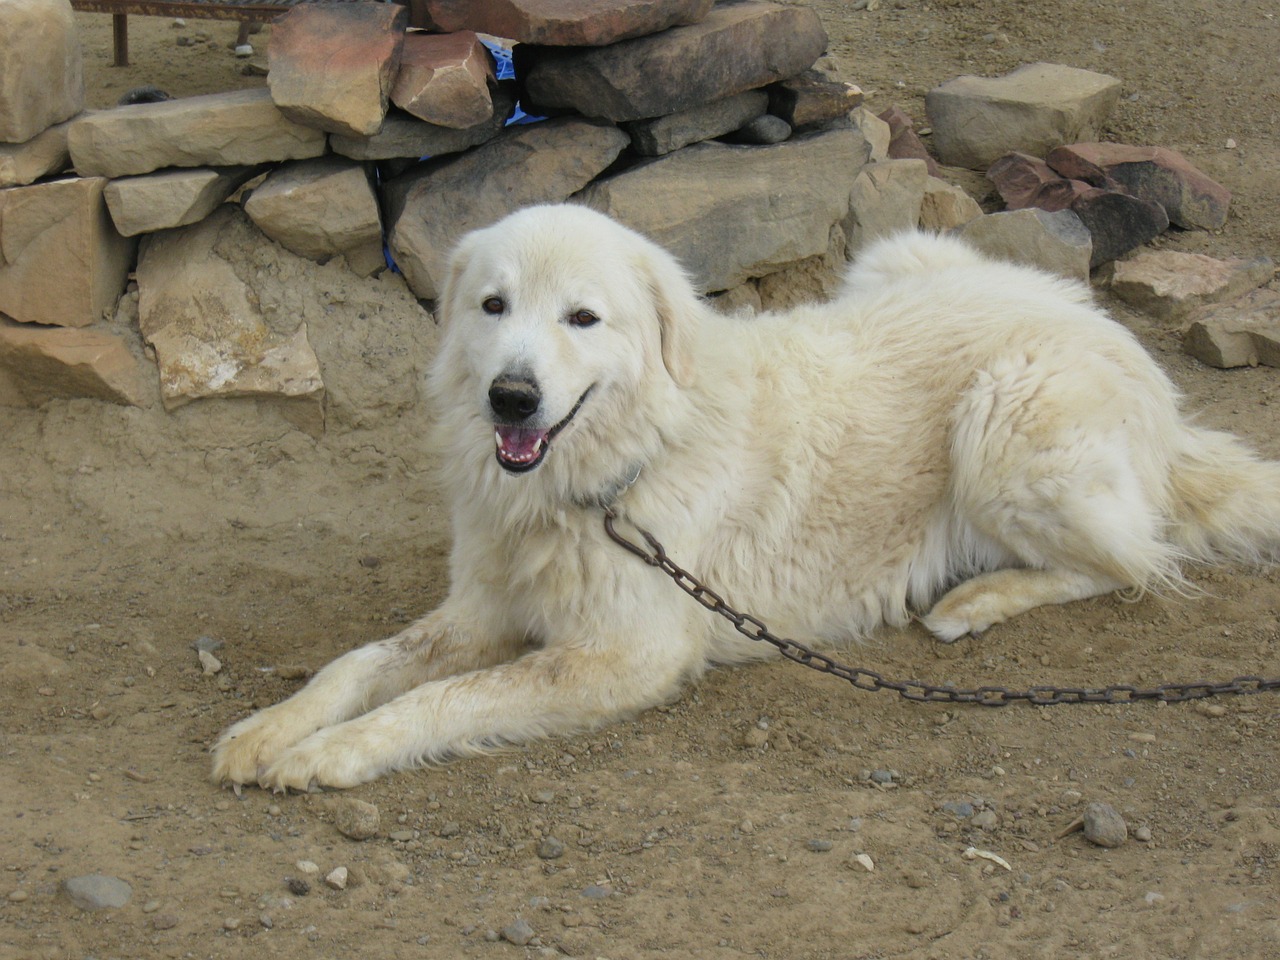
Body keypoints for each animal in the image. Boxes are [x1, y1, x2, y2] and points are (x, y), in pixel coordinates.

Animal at [212, 203, 1280, 788]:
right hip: (898, 257)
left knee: (1135, 558)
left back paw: (975, 599)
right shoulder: (482, 606)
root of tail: (1111, 335)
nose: (509, 396)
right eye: (492, 306)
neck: (611, 472)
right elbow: (361, 662)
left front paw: (333, 754)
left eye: (582, 318)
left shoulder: (627, 653)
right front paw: (271, 730)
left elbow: (448, 698)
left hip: (1002, 422)